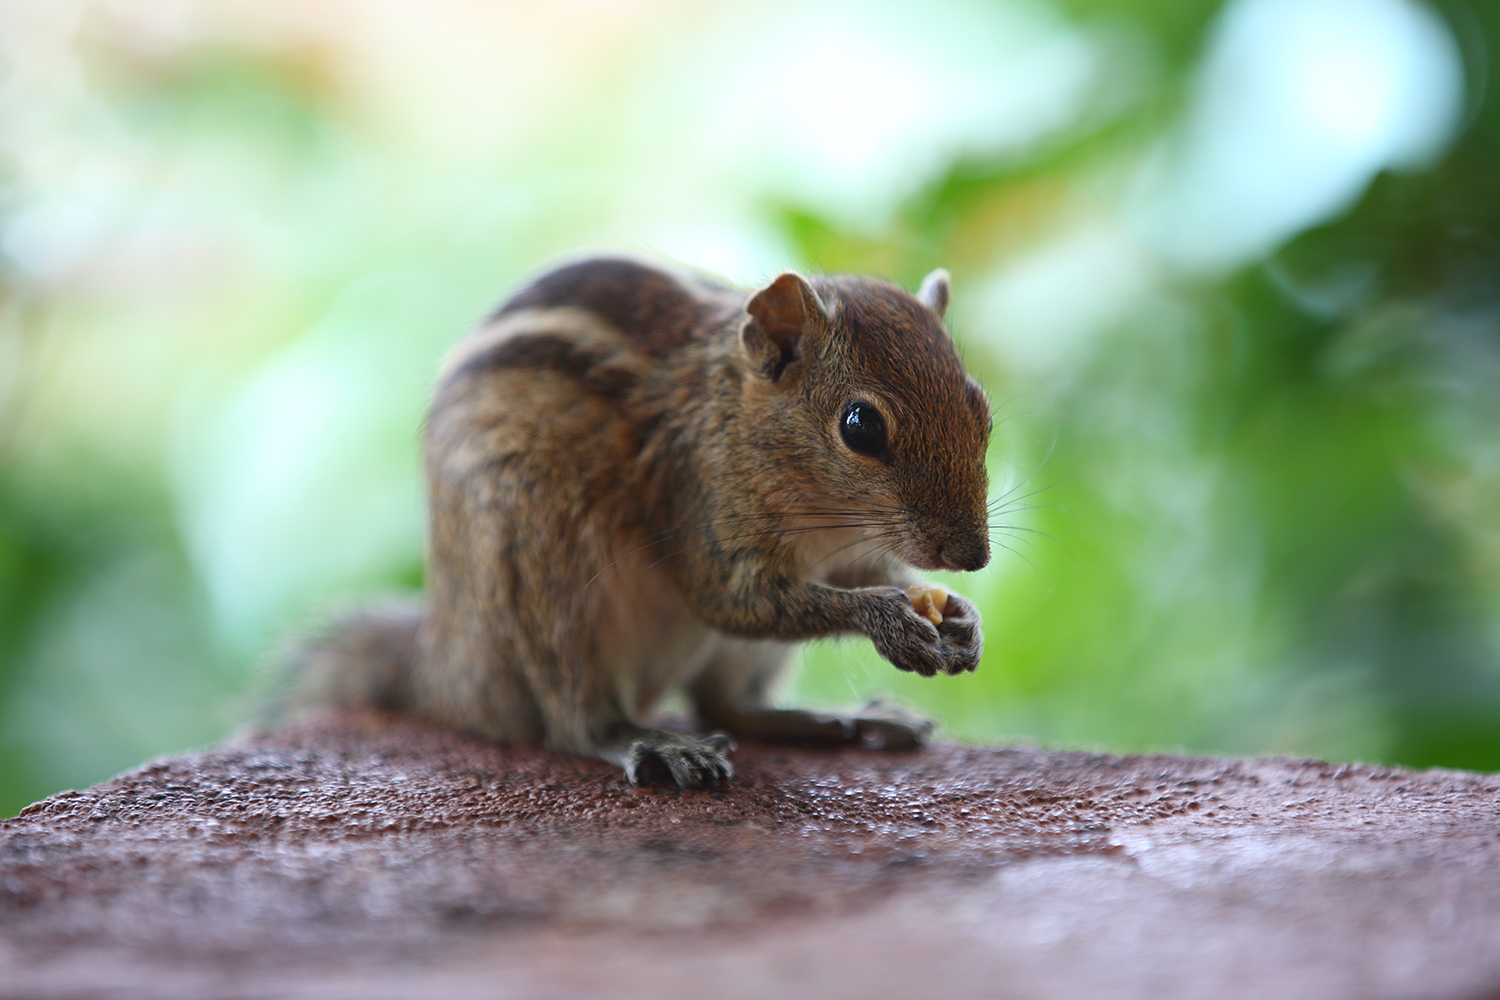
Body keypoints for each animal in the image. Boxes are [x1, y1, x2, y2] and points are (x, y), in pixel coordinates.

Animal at [292, 257, 996, 791]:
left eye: (981, 407)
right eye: (861, 426)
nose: (974, 557)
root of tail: (448, 666)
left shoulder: (846, 553)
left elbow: (872, 575)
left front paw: (960, 616)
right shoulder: (701, 504)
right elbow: (731, 600)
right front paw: (890, 619)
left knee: (731, 706)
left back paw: (842, 721)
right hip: (543, 580)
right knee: (576, 722)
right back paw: (649, 741)